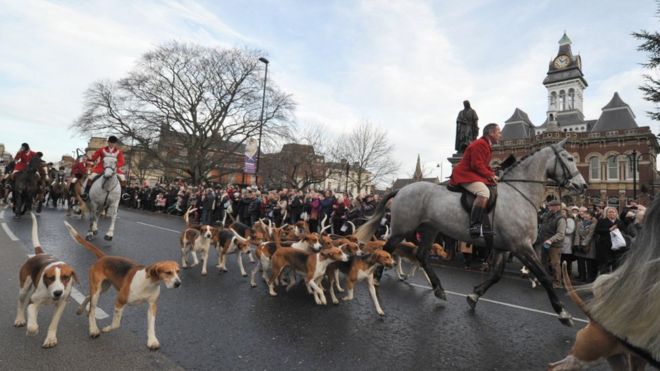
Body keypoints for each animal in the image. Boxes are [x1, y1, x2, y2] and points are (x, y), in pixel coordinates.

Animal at [358, 139, 584, 326]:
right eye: (570, 158)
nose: (582, 185)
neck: (518, 195)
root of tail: (403, 189)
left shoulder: (504, 247)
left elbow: (496, 275)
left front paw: (474, 295)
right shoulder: (521, 246)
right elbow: (544, 276)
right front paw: (563, 313)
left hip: (430, 230)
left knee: (421, 255)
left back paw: (438, 289)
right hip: (402, 229)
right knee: (388, 248)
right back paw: (377, 277)